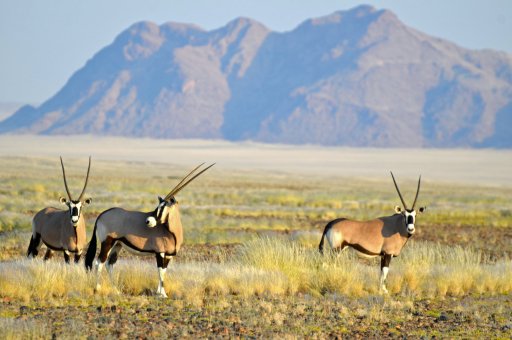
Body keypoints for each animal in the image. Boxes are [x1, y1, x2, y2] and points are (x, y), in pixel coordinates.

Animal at [85, 163, 213, 296]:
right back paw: (97, 288)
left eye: (163, 207)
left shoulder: (168, 256)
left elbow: (163, 272)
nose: (148, 221)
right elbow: (160, 271)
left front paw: (159, 292)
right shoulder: (160, 252)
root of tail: (101, 215)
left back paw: (116, 290)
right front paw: (162, 294)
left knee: (109, 264)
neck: (171, 232)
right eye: (159, 206)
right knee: (99, 263)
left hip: (117, 245)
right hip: (107, 242)